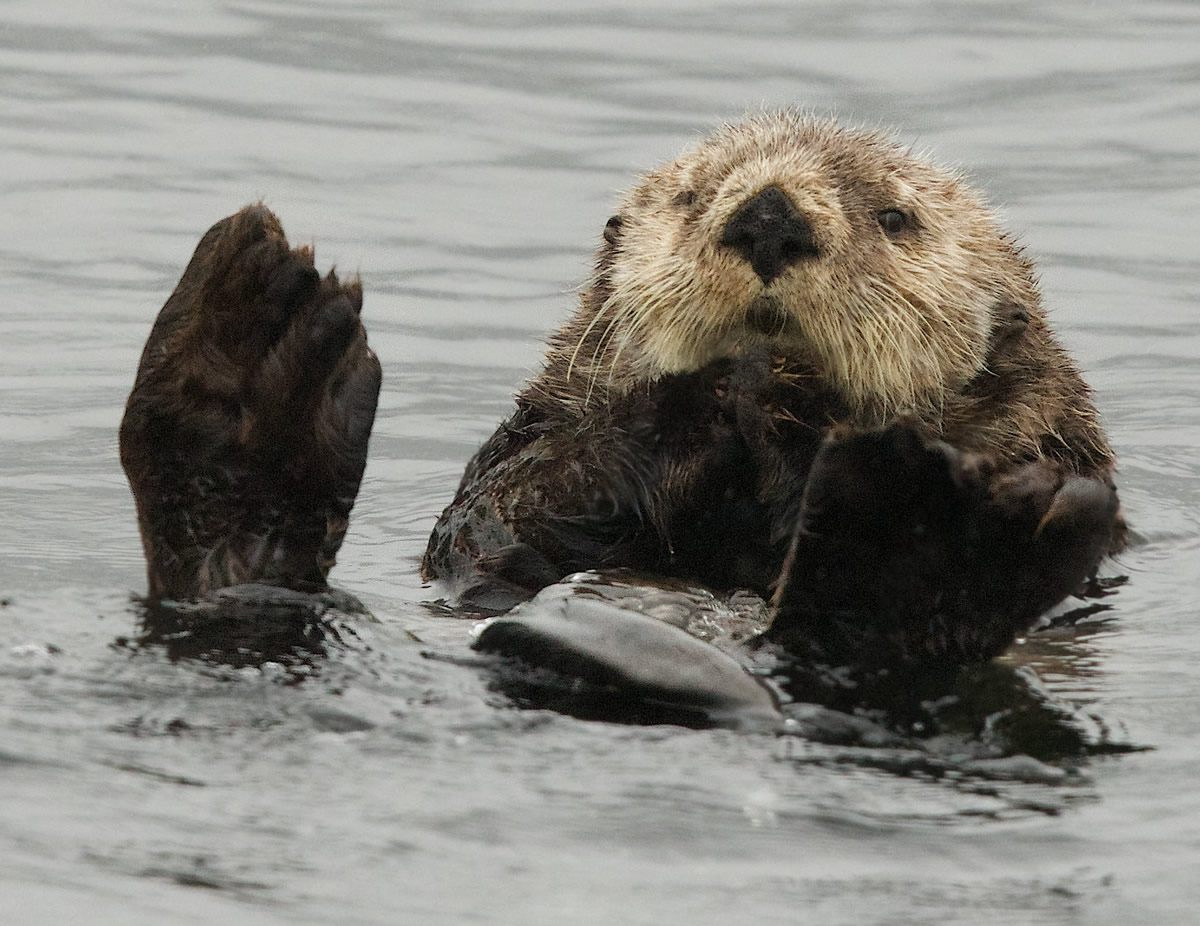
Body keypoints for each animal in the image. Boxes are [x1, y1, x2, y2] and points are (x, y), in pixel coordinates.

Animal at [422, 112, 1123, 666]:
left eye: (896, 218)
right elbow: (488, 519)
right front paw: (726, 384)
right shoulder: (531, 447)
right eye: (690, 196)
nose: (768, 216)